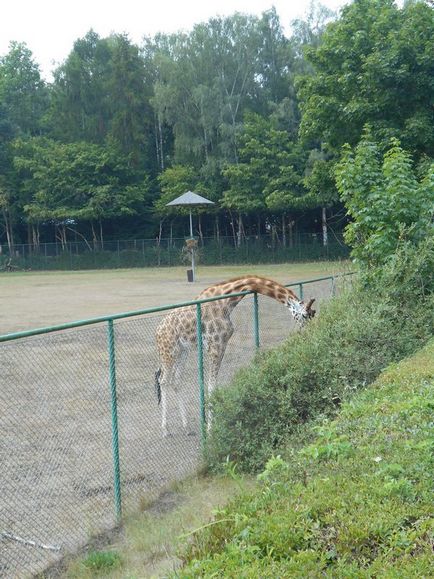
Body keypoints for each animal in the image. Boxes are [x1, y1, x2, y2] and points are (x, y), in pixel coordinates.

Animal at [156, 276, 316, 436]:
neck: (226, 303)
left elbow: (212, 386)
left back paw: (186, 427)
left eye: (311, 316)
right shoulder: (216, 345)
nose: (310, 333)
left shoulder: (220, 345)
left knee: (176, 381)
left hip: (182, 351)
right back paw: (165, 429)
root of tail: (157, 331)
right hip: (168, 351)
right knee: (163, 380)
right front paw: (211, 430)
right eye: (304, 315)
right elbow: (211, 387)